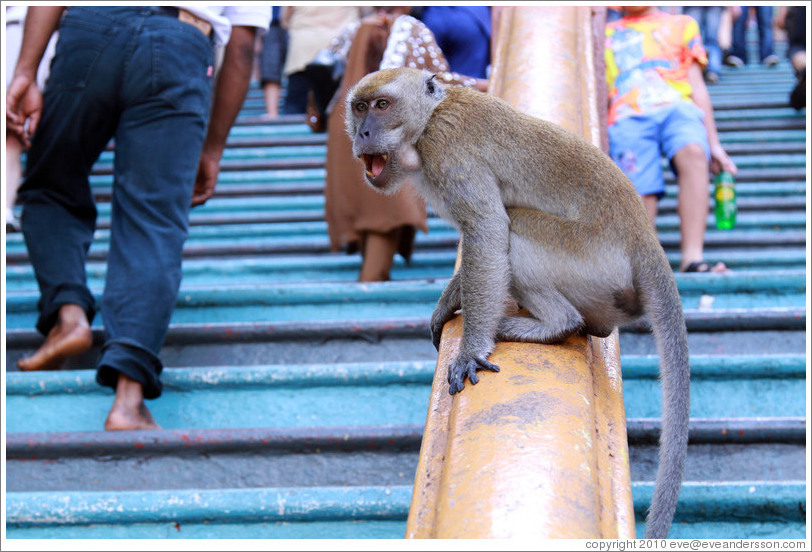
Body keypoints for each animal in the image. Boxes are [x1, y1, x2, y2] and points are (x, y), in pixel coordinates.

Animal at [346, 67, 688, 536]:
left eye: (382, 105)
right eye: (359, 107)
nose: (363, 132)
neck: (429, 119)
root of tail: (644, 242)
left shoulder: (448, 150)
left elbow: (488, 229)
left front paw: (471, 347)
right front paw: (450, 299)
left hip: (591, 258)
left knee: (517, 226)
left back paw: (550, 324)